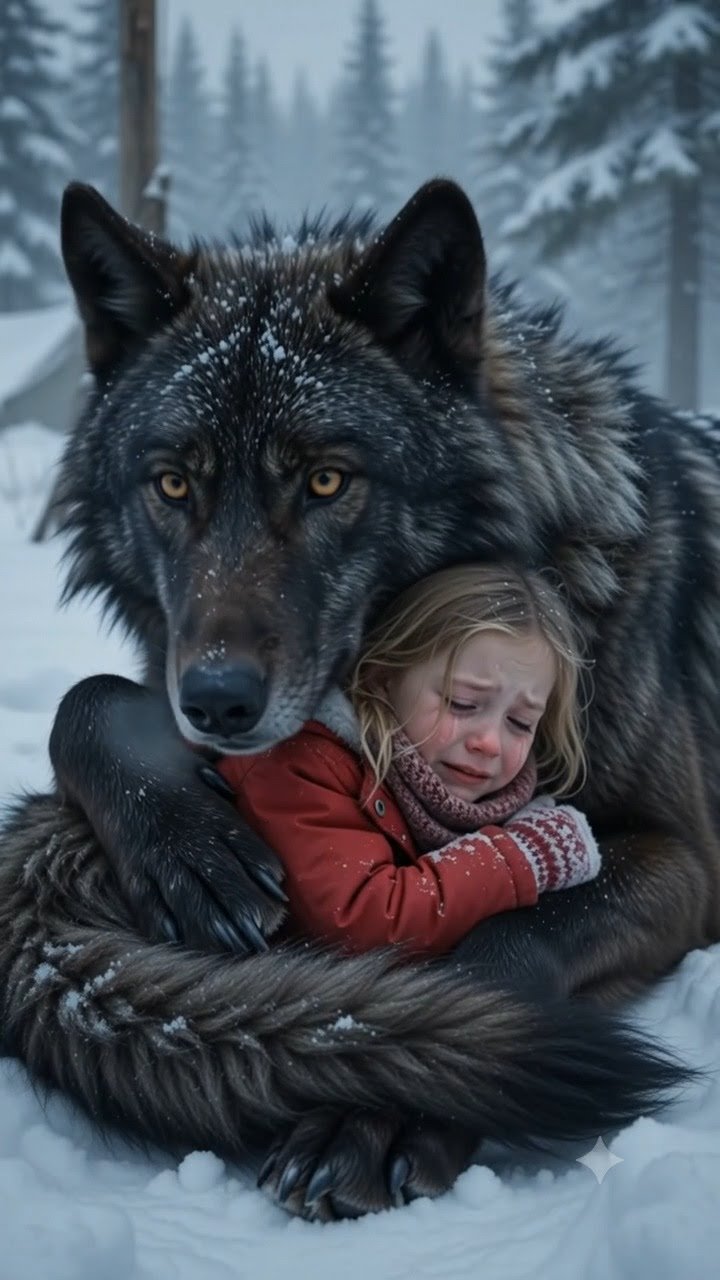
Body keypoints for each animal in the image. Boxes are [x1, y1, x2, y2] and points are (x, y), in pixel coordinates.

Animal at [0, 178, 716, 1221]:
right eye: (172, 484)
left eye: (327, 479)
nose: (215, 704)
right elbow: (84, 698)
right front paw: (188, 846)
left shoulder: (683, 853)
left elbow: (502, 944)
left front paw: (377, 1110)